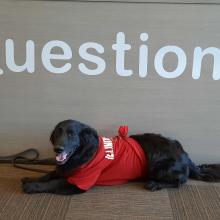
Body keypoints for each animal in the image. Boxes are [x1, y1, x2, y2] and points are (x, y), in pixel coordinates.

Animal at [21, 120, 220, 194]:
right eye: (57, 133)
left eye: (71, 134)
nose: (57, 149)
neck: (84, 153)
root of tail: (185, 154)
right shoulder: (65, 168)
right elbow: (50, 174)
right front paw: (30, 178)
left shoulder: (79, 183)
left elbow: (53, 182)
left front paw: (32, 186)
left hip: (159, 167)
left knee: (181, 181)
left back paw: (155, 184)